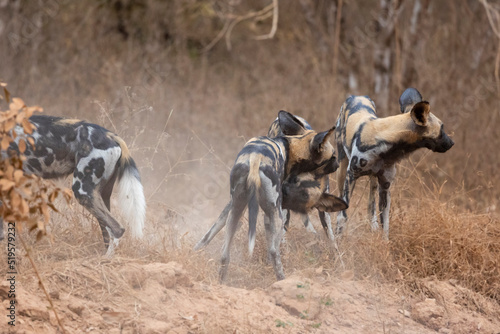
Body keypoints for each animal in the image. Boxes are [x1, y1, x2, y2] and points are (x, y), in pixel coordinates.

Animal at [0, 115, 146, 256]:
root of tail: (111, 135)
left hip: (82, 191)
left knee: (117, 229)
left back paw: (106, 259)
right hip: (101, 195)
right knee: (107, 230)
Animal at [195, 110, 336, 282]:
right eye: (333, 156)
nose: (338, 164)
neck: (291, 147)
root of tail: (255, 159)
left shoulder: (234, 206)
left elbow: (211, 231)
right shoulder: (278, 210)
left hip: (237, 210)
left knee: (224, 252)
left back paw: (221, 281)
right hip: (277, 214)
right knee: (274, 251)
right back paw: (282, 279)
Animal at [334, 87, 456, 236]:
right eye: (442, 128)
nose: (452, 143)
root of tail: (357, 96)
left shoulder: (385, 186)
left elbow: (385, 224)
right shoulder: (351, 176)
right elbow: (343, 216)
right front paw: (338, 238)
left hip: (373, 181)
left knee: (371, 205)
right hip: (341, 171)